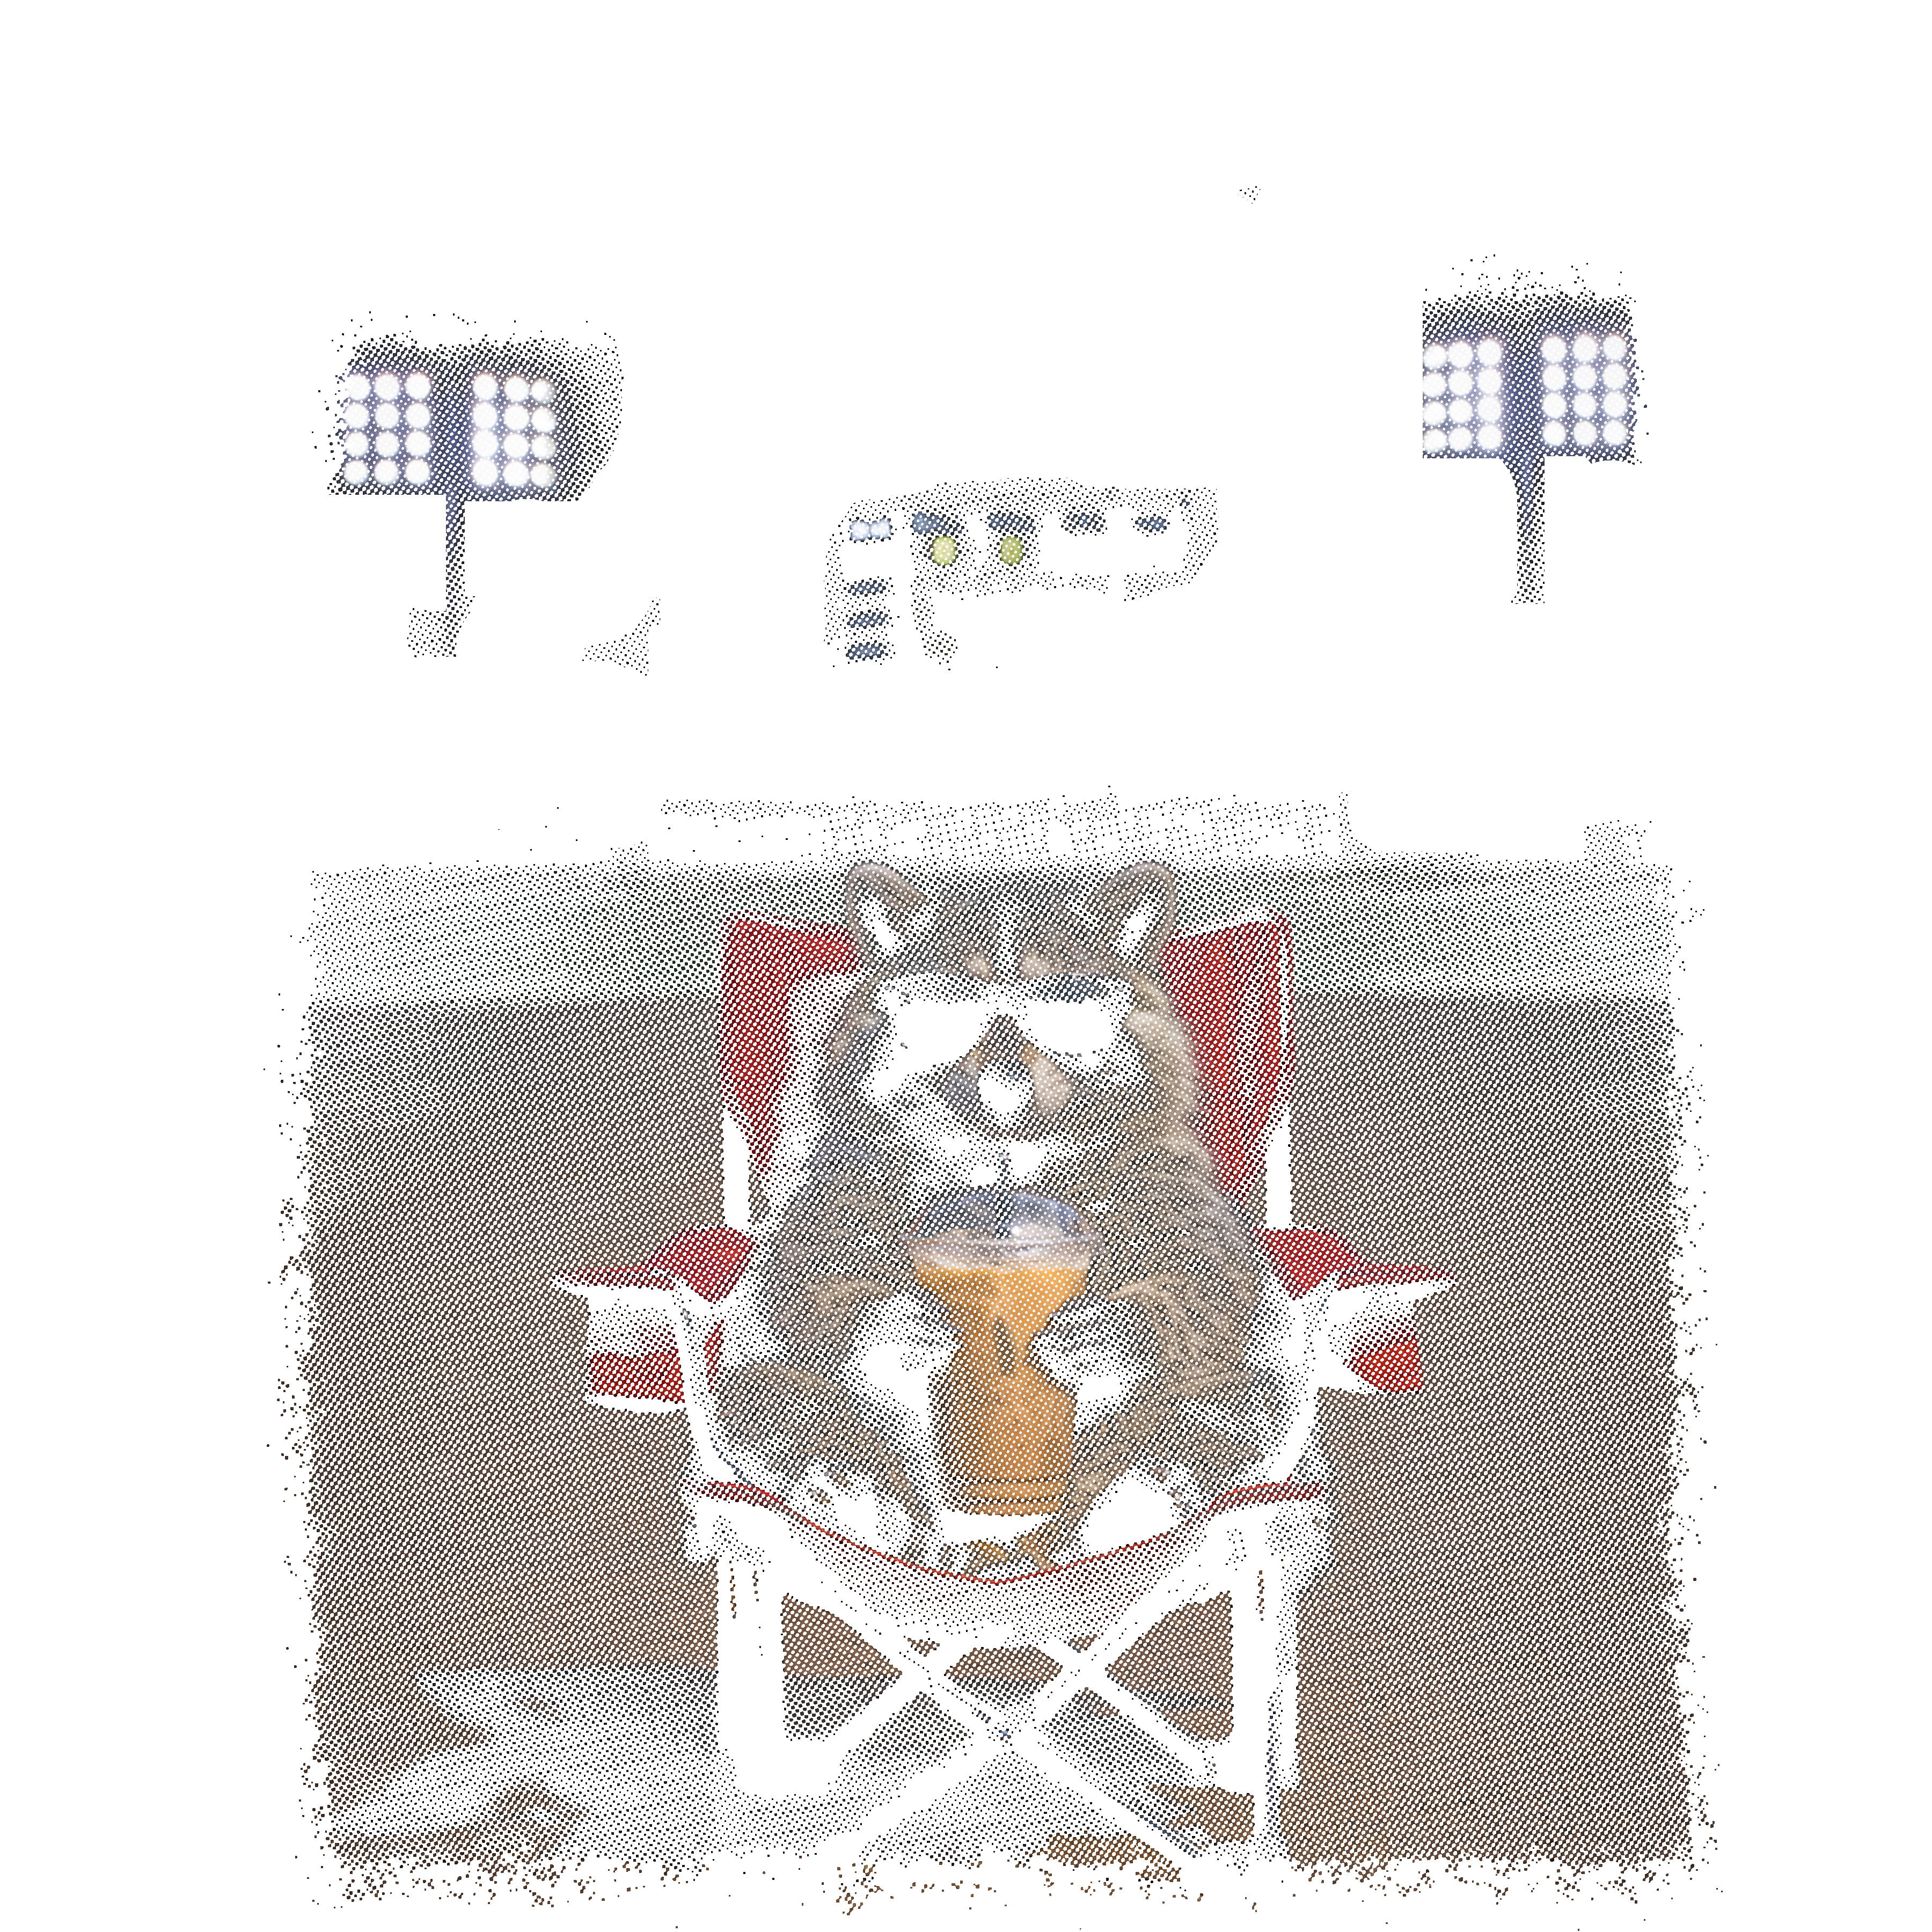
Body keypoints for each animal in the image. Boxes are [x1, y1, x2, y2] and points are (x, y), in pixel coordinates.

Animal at [705, 859, 1337, 1585]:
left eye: (1070, 1010)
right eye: (940, 1010)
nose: (1005, 1084)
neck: (1008, 1151)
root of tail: (1008, 1541)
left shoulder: (1171, 1181)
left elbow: (1215, 1293)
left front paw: (1126, 1327)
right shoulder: (848, 1181)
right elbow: (798, 1293)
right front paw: (881, 1323)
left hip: (1243, 1430)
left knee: (1239, 1411)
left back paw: (1126, 1512)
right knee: (771, 1401)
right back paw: (871, 1512)